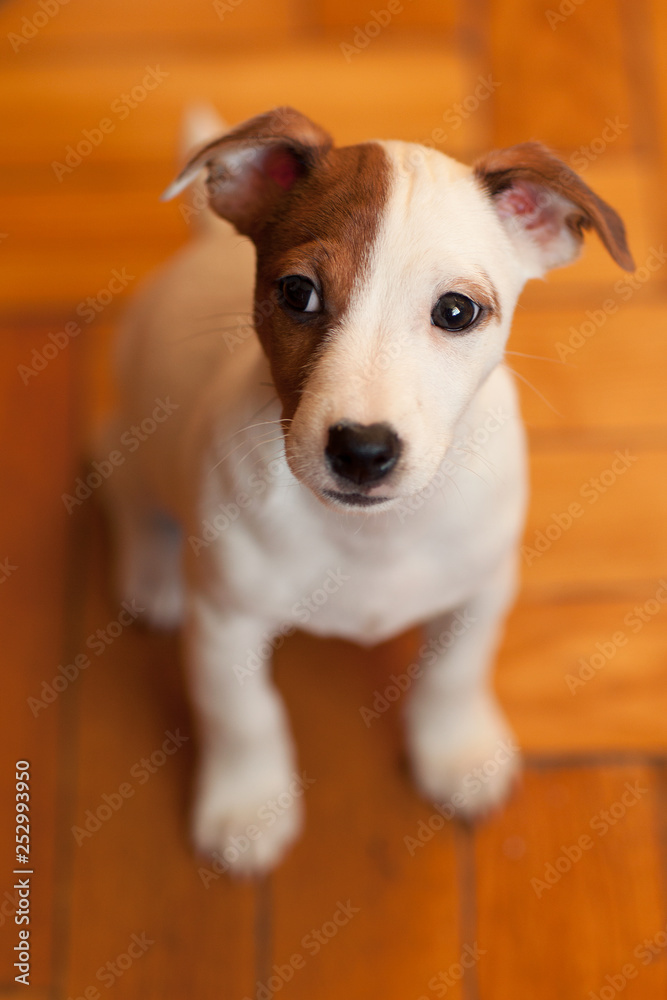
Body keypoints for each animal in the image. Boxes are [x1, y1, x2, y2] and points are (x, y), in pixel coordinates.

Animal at [102, 105, 636, 872]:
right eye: (297, 293)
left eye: (456, 311)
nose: (361, 451)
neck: (371, 536)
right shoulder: (225, 623)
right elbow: (242, 715)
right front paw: (249, 805)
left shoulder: (481, 587)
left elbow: (453, 672)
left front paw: (457, 752)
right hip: (141, 441)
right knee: (121, 482)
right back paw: (152, 572)